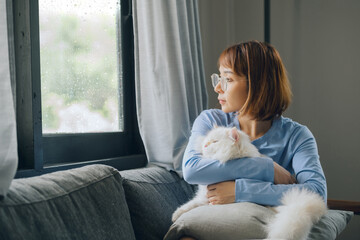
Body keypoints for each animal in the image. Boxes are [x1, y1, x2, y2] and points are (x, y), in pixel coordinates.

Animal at [173, 126, 328, 239]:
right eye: (207, 140)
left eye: (215, 141)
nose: (205, 145)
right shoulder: (203, 197)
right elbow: (188, 205)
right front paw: (175, 216)